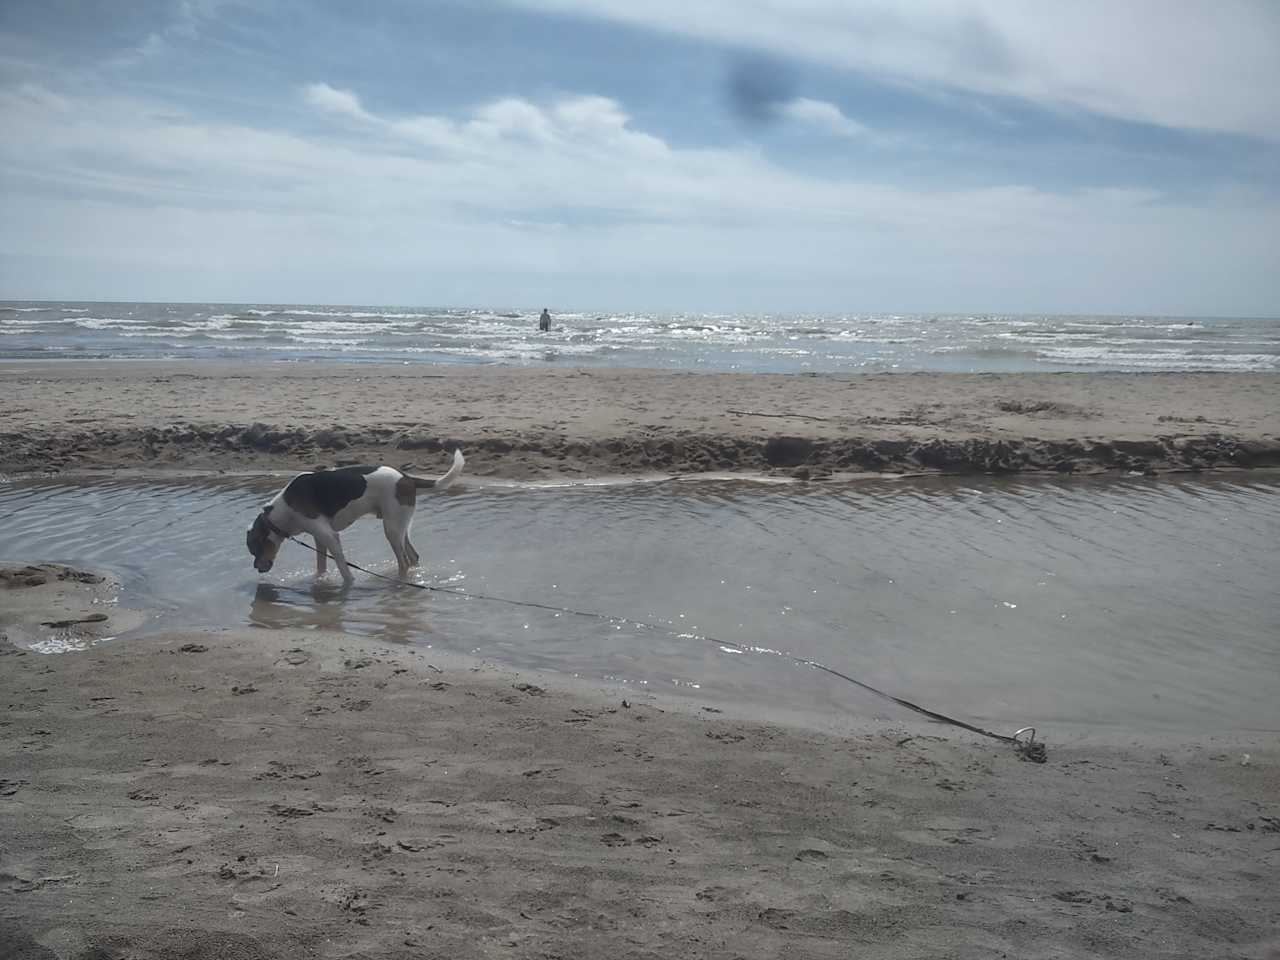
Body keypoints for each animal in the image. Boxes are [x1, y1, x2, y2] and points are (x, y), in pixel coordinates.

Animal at [245, 450, 465, 586]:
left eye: (255, 549)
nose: (256, 568)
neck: (280, 512)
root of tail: (407, 478)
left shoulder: (330, 537)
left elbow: (344, 569)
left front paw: (348, 585)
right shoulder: (319, 538)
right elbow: (321, 566)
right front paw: (319, 582)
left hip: (391, 529)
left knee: (404, 562)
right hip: (400, 526)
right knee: (413, 557)